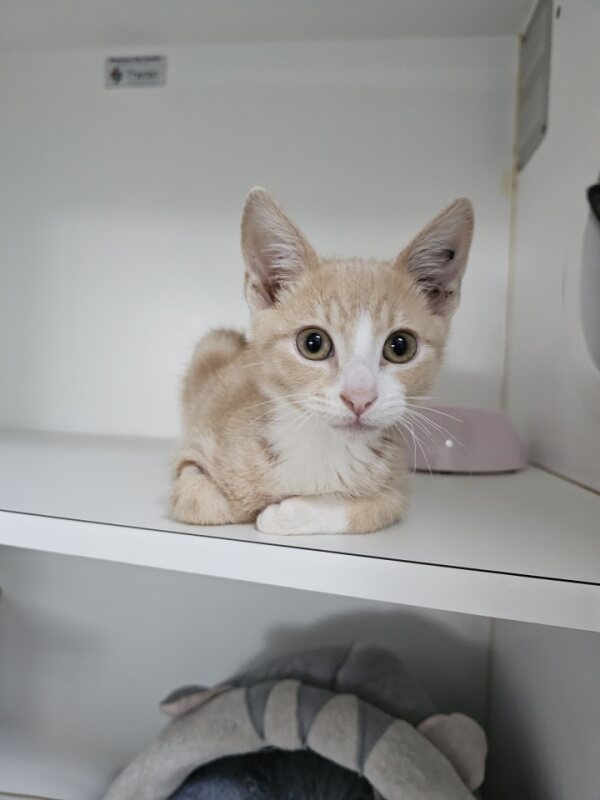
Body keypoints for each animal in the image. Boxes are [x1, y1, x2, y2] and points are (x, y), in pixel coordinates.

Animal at [171, 188, 473, 535]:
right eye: (313, 343)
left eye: (400, 346)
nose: (359, 397)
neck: (322, 445)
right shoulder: (193, 451)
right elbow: (197, 500)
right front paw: (242, 503)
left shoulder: (397, 487)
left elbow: (370, 509)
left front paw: (284, 512)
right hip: (214, 343)